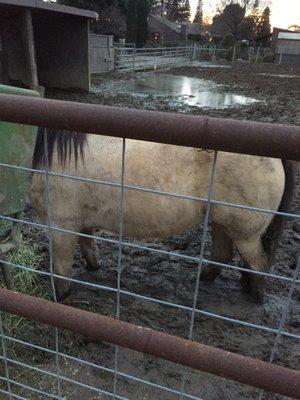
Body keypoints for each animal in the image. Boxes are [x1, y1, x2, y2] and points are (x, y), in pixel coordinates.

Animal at [29, 128, 296, 304]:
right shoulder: (82, 222)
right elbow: (89, 247)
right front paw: (93, 269)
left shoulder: (60, 226)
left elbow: (61, 266)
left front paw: (60, 296)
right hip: (222, 224)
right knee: (224, 256)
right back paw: (206, 280)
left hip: (245, 234)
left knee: (259, 263)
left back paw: (256, 298)